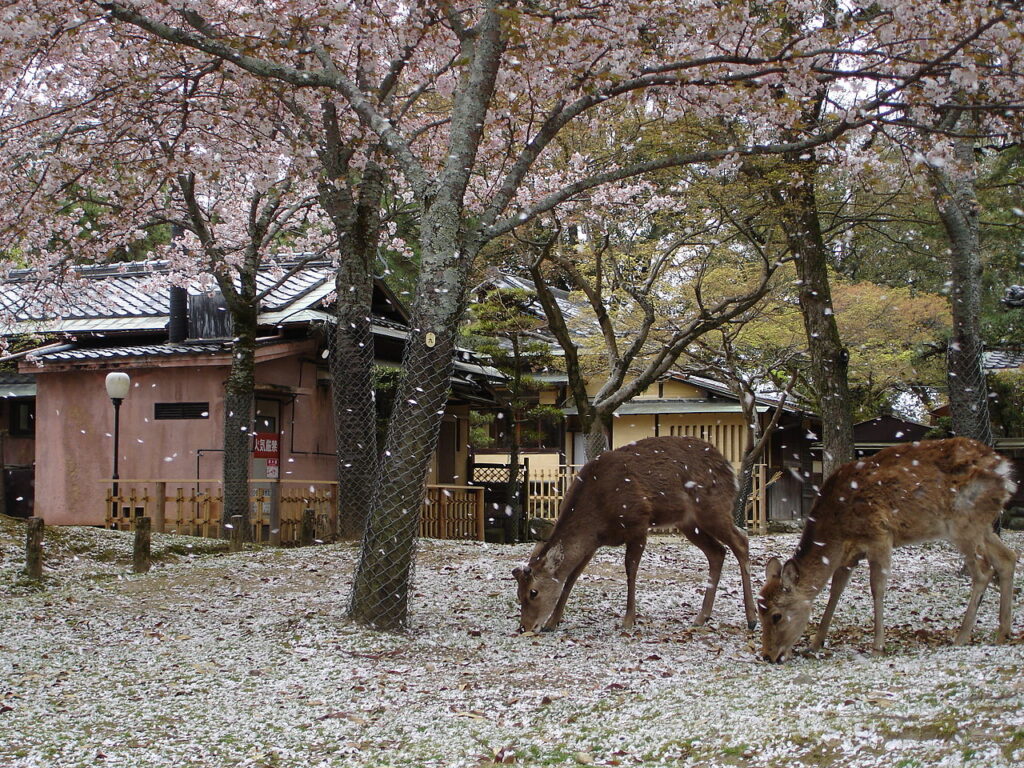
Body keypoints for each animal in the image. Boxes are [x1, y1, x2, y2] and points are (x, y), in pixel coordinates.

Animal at [512, 436, 761, 634]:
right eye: (518, 593)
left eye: (533, 592)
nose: (525, 627)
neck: (597, 515)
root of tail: (729, 469)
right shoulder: (593, 542)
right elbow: (572, 577)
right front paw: (552, 622)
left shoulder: (638, 524)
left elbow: (630, 570)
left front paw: (629, 619)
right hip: (689, 523)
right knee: (717, 552)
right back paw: (701, 617)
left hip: (713, 508)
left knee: (741, 541)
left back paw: (752, 618)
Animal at [761, 436, 1015, 663]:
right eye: (761, 609)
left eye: (776, 616)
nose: (768, 656)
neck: (837, 530)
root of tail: (1006, 471)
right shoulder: (849, 555)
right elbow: (835, 591)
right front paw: (815, 644)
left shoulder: (880, 536)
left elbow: (877, 588)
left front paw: (877, 647)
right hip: (982, 524)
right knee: (1007, 558)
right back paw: (1003, 633)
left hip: (964, 522)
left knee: (983, 571)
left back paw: (961, 637)